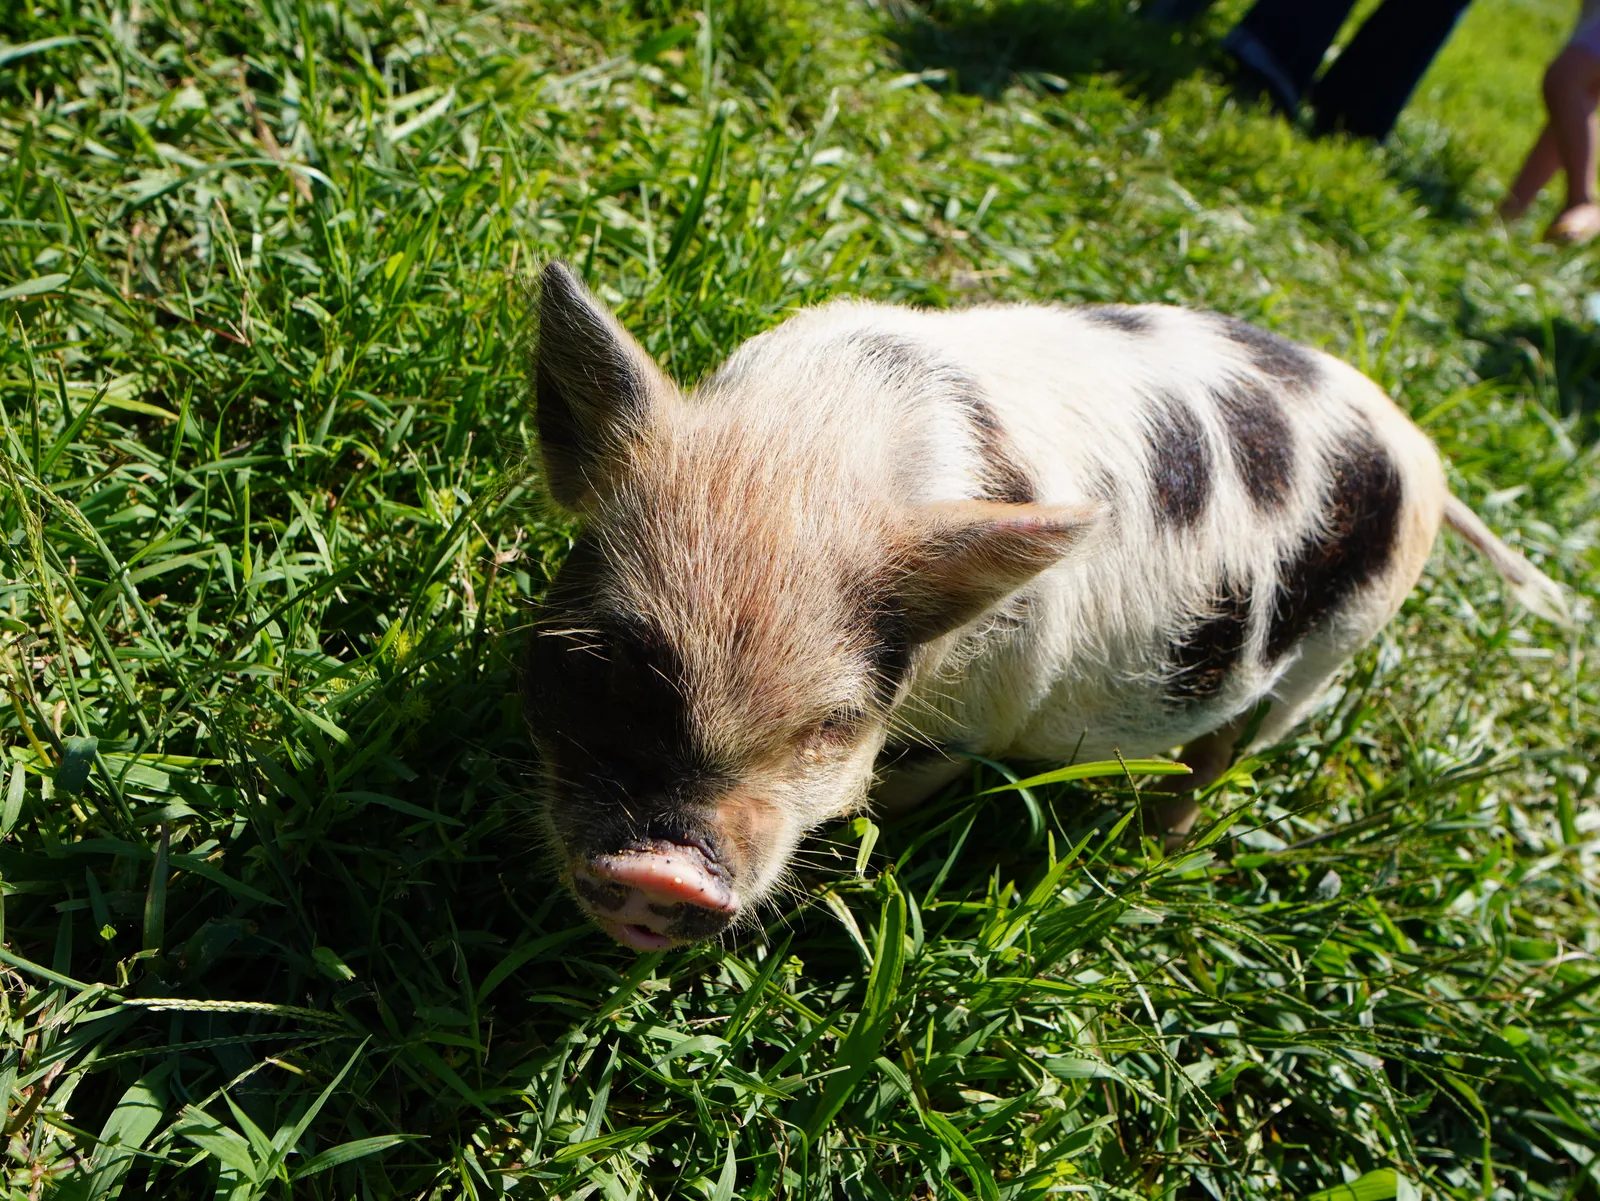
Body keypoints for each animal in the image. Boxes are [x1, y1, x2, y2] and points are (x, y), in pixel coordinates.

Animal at [520, 261, 1568, 951]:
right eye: (594, 659)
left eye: (835, 721)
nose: (662, 867)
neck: (808, 454)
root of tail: (1424, 456)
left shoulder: (971, 726)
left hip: (1319, 664)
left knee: (1224, 751)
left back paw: (1153, 849)